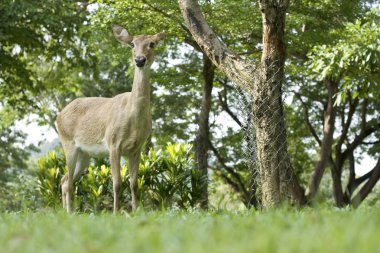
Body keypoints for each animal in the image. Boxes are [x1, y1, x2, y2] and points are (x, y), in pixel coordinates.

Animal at [56, 24, 165, 213]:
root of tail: (58, 116)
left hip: (84, 154)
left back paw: (68, 212)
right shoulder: (113, 143)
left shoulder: (137, 148)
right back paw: (69, 212)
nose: (140, 60)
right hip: (68, 143)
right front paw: (115, 213)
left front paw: (135, 211)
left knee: (65, 180)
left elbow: (134, 184)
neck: (133, 117)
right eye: (132, 44)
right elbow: (117, 183)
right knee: (68, 182)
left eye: (152, 43)